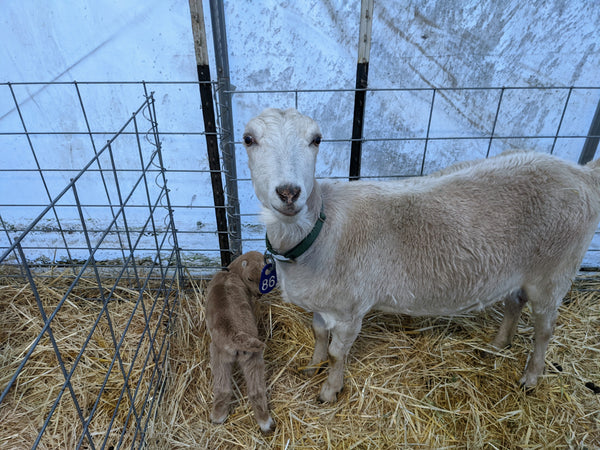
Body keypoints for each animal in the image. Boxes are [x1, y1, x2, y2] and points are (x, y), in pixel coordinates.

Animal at [243, 107, 600, 402]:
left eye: (316, 139)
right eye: (248, 139)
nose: (289, 192)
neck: (318, 230)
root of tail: (582, 174)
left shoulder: (349, 309)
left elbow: (336, 353)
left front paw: (329, 390)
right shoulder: (323, 300)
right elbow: (318, 335)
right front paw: (310, 368)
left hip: (555, 270)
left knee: (545, 329)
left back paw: (531, 377)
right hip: (521, 269)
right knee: (514, 303)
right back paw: (498, 345)